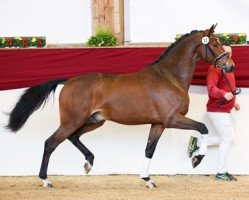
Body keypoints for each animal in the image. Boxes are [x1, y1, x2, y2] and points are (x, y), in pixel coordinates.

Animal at [6, 24, 235, 188]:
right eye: (215, 44)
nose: (230, 66)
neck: (169, 77)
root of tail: (68, 80)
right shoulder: (172, 119)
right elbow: (202, 128)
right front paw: (197, 158)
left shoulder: (158, 124)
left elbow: (149, 149)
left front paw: (147, 179)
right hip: (72, 120)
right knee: (50, 143)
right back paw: (45, 180)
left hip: (94, 121)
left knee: (73, 138)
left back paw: (89, 163)